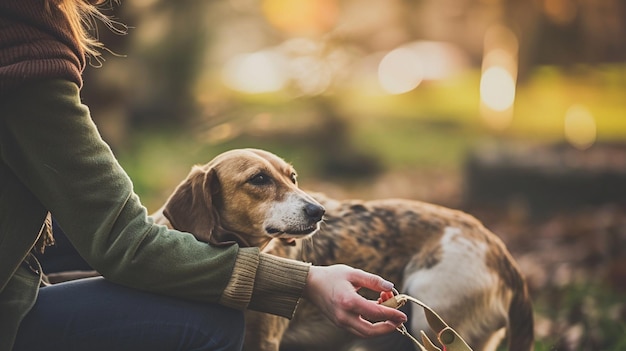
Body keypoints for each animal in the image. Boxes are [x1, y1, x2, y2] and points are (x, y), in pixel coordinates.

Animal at [151, 148, 532, 351]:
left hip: (433, 319)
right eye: (259, 179)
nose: (318, 210)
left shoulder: (262, 341)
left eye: (293, 178)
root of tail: (500, 251)